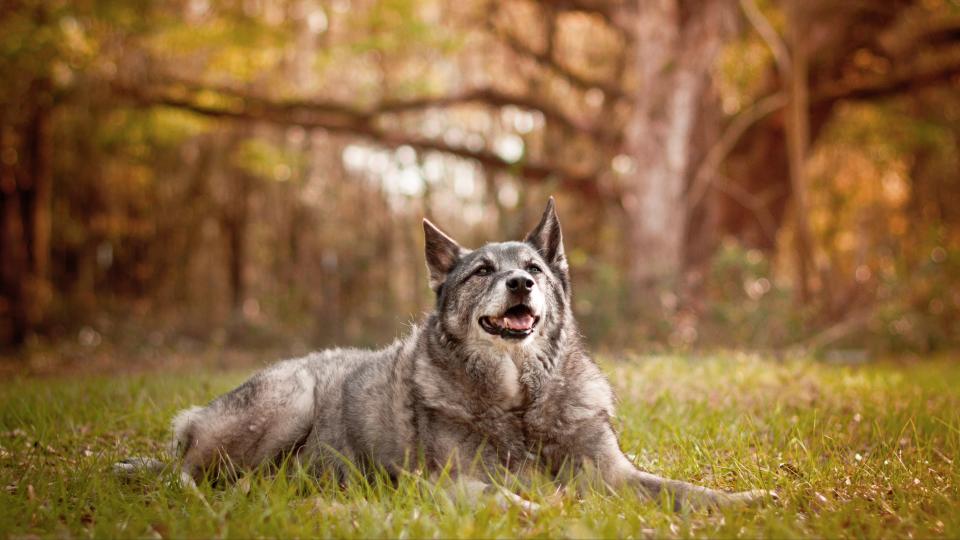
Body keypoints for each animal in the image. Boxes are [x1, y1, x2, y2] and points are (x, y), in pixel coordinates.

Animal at [116, 198, 772, 510]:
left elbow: (683, 489)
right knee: (192, 475)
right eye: (483, 270)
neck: (519, 401)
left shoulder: (615, 475)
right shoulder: (443, 483)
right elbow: (502, 494)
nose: (520, 284)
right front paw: (538, 510)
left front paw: (745, 502)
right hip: (290, 399)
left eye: (534, 268)